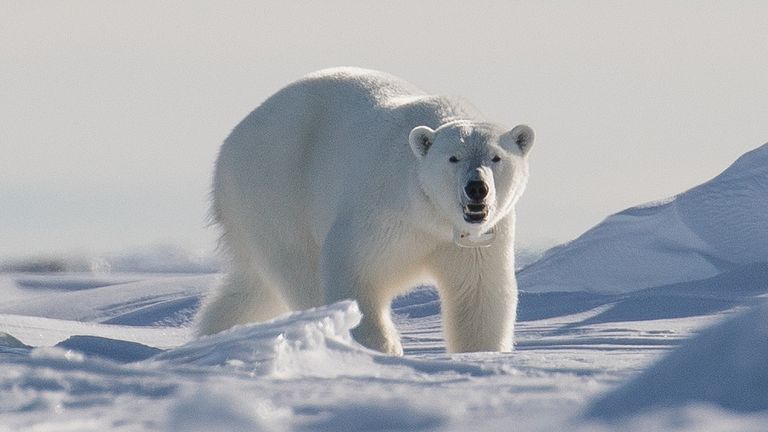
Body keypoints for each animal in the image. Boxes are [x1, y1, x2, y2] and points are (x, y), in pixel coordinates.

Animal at [195, 67, 536, 354]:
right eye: (453, 158)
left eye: (496, 157)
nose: (477, 188)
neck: (430, 214)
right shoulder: (382, 212)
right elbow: (354, 272)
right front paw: (383, 348)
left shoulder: (476, 239)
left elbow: (479, 296)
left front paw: (481, 353)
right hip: (275, 192)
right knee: (300, 270)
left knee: (252, 288)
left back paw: (213, 334)